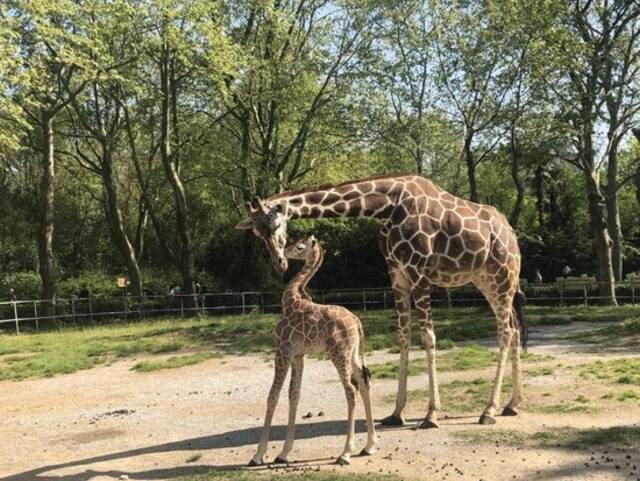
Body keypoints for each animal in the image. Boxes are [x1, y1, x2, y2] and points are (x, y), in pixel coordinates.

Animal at [238, 174, 528, 426]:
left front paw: (431, 414)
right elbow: (403, 337)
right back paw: (512, 404)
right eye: (256, 232)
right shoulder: (397, 276)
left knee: (505, 330)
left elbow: (428, 338)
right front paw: (397, 413)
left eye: (276, 225)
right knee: (514, 327)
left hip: (502, 277)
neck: (387, 207)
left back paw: (489, 410)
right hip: (486, 281)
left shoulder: (419, 274)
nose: (279, 264)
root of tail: (512, 233)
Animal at [250, 235, 378, 464]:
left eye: (299, 247)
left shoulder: (282, 350)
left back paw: (346, 453)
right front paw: (284, 453)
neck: (290, 300)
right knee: (364, 384)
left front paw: (258, 455)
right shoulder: (298, 355)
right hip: (354, 354)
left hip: (339, 354)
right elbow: (294, 394)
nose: (284, 252)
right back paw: (369, 446)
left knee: (350, 389)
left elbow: (273, 395)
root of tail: (357, 321)